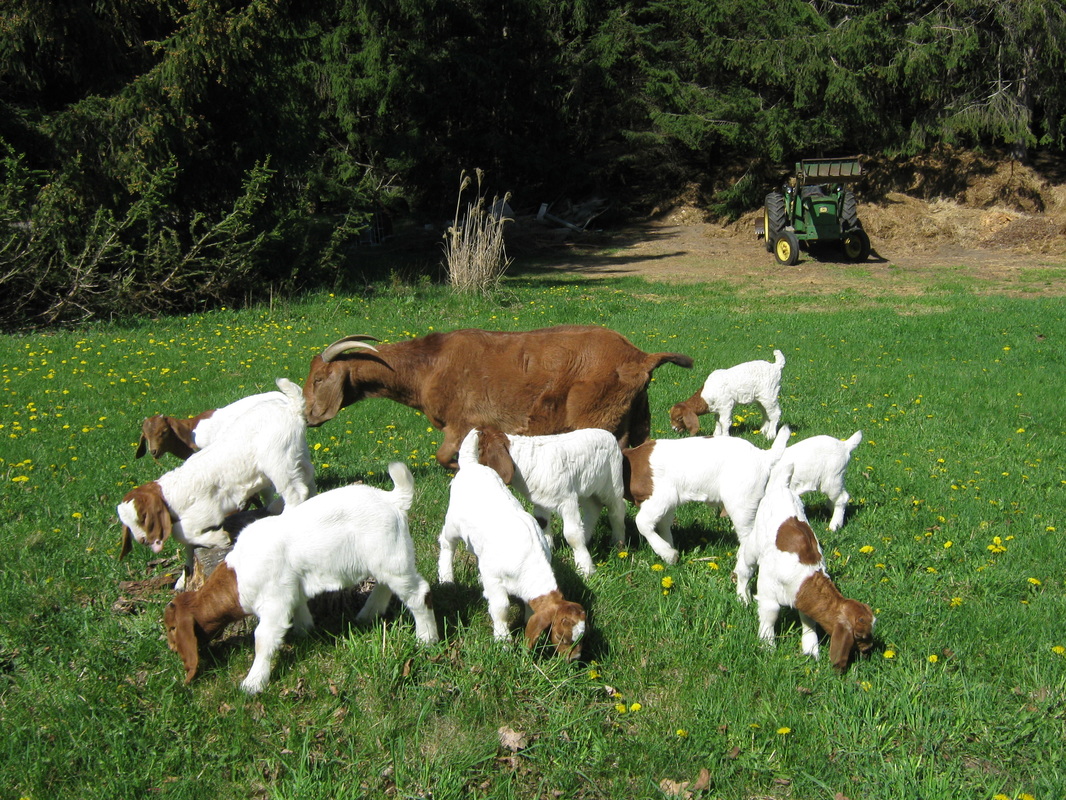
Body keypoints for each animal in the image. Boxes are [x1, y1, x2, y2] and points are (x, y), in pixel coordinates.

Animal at [304, 326, 695, 469]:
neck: (430, 363)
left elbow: (444, 456)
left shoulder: (462, 422)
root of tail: (640, 357)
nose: (308, 416)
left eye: (320, 378)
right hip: (632, 416)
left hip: (594, 414)